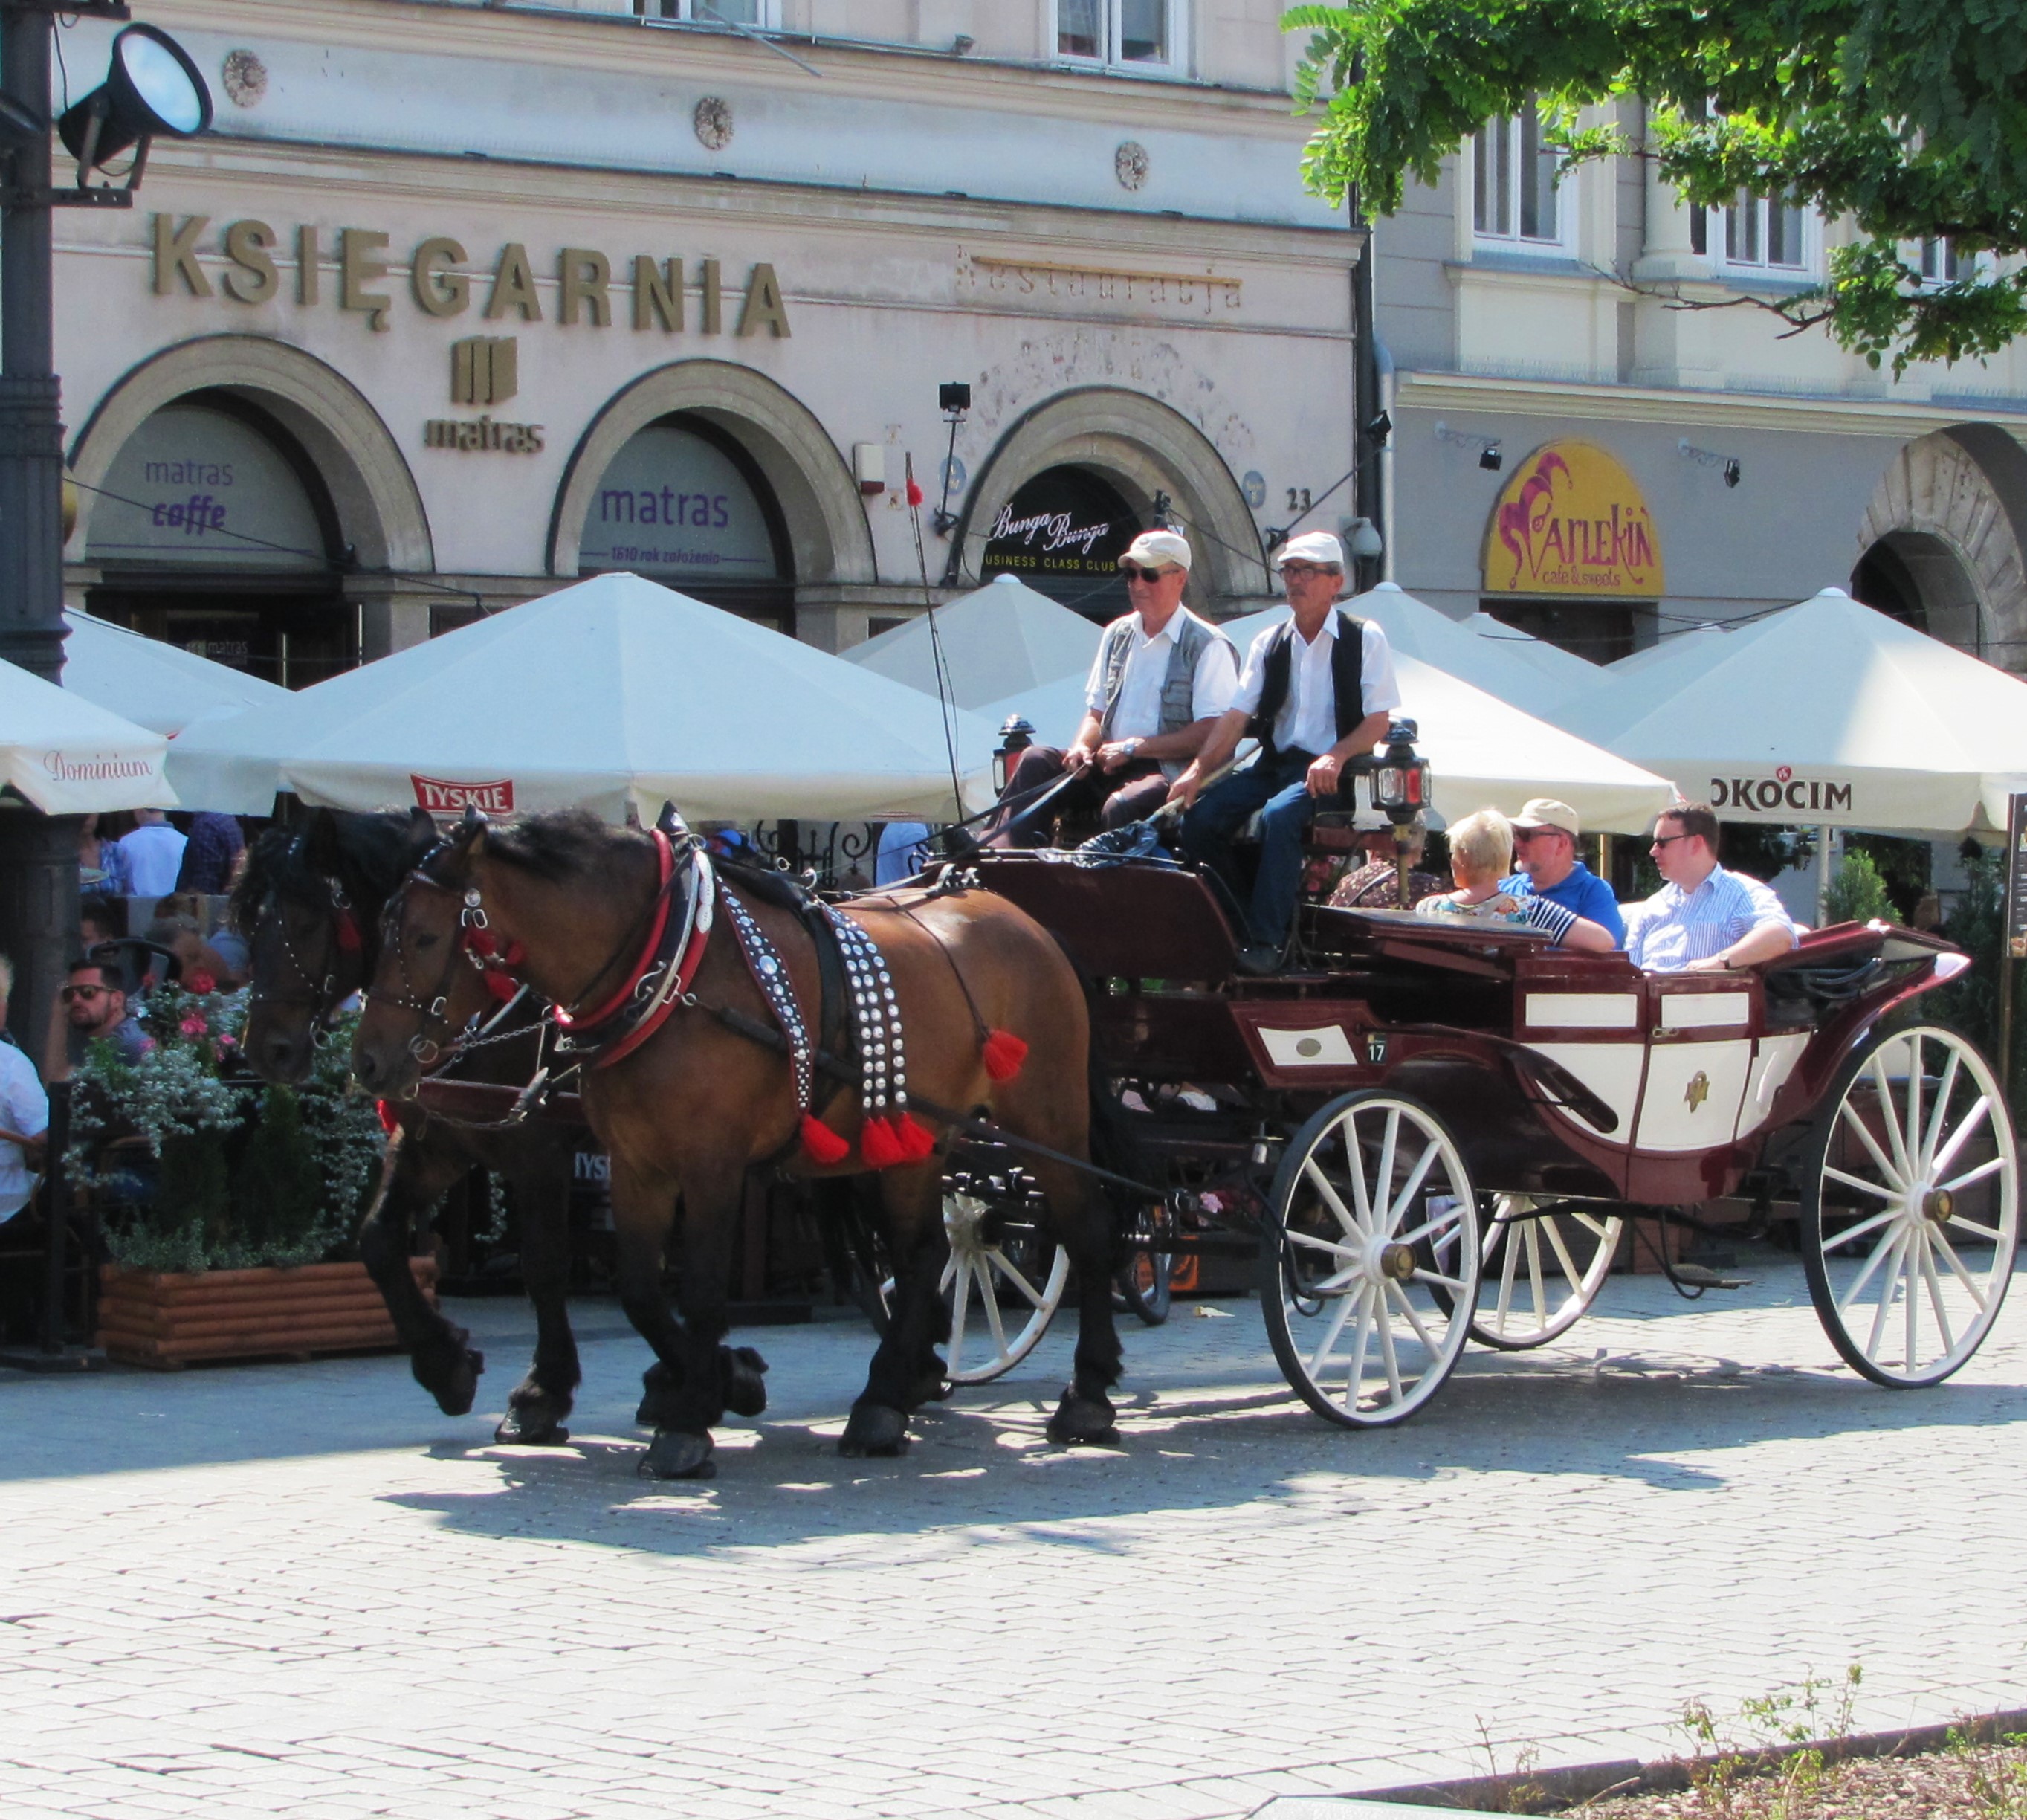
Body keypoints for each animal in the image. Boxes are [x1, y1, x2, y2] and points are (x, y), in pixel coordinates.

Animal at [352, 810, 1127, 1475]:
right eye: (371, 929)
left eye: (423, 938)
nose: (367, 1064)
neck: (669, 970)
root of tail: (1023, 919)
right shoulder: (627, 1162)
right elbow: (636, 1289)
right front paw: (714, 1382)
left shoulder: (698, 1164)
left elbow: (686, 1285)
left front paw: (686, 1413)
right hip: (915, 1142)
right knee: (923, 1254)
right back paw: (884, 1401)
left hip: (1045, 1118)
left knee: (1085, 1230)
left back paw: (1085, 1394)